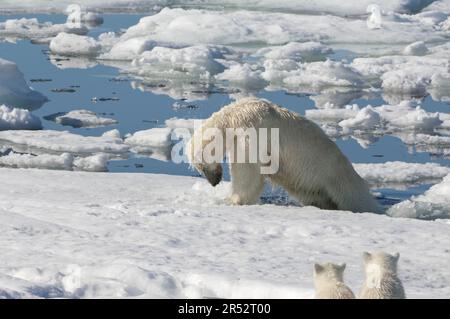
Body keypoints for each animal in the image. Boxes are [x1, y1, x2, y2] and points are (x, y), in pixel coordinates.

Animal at [185, 97, 380, 212]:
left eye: (200, 167)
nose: (213, 182)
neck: (233, 116)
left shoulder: (250, 131)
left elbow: (247, 171)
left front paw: (233, 200)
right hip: (312, 186)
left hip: (338, 180)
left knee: (356, 200)